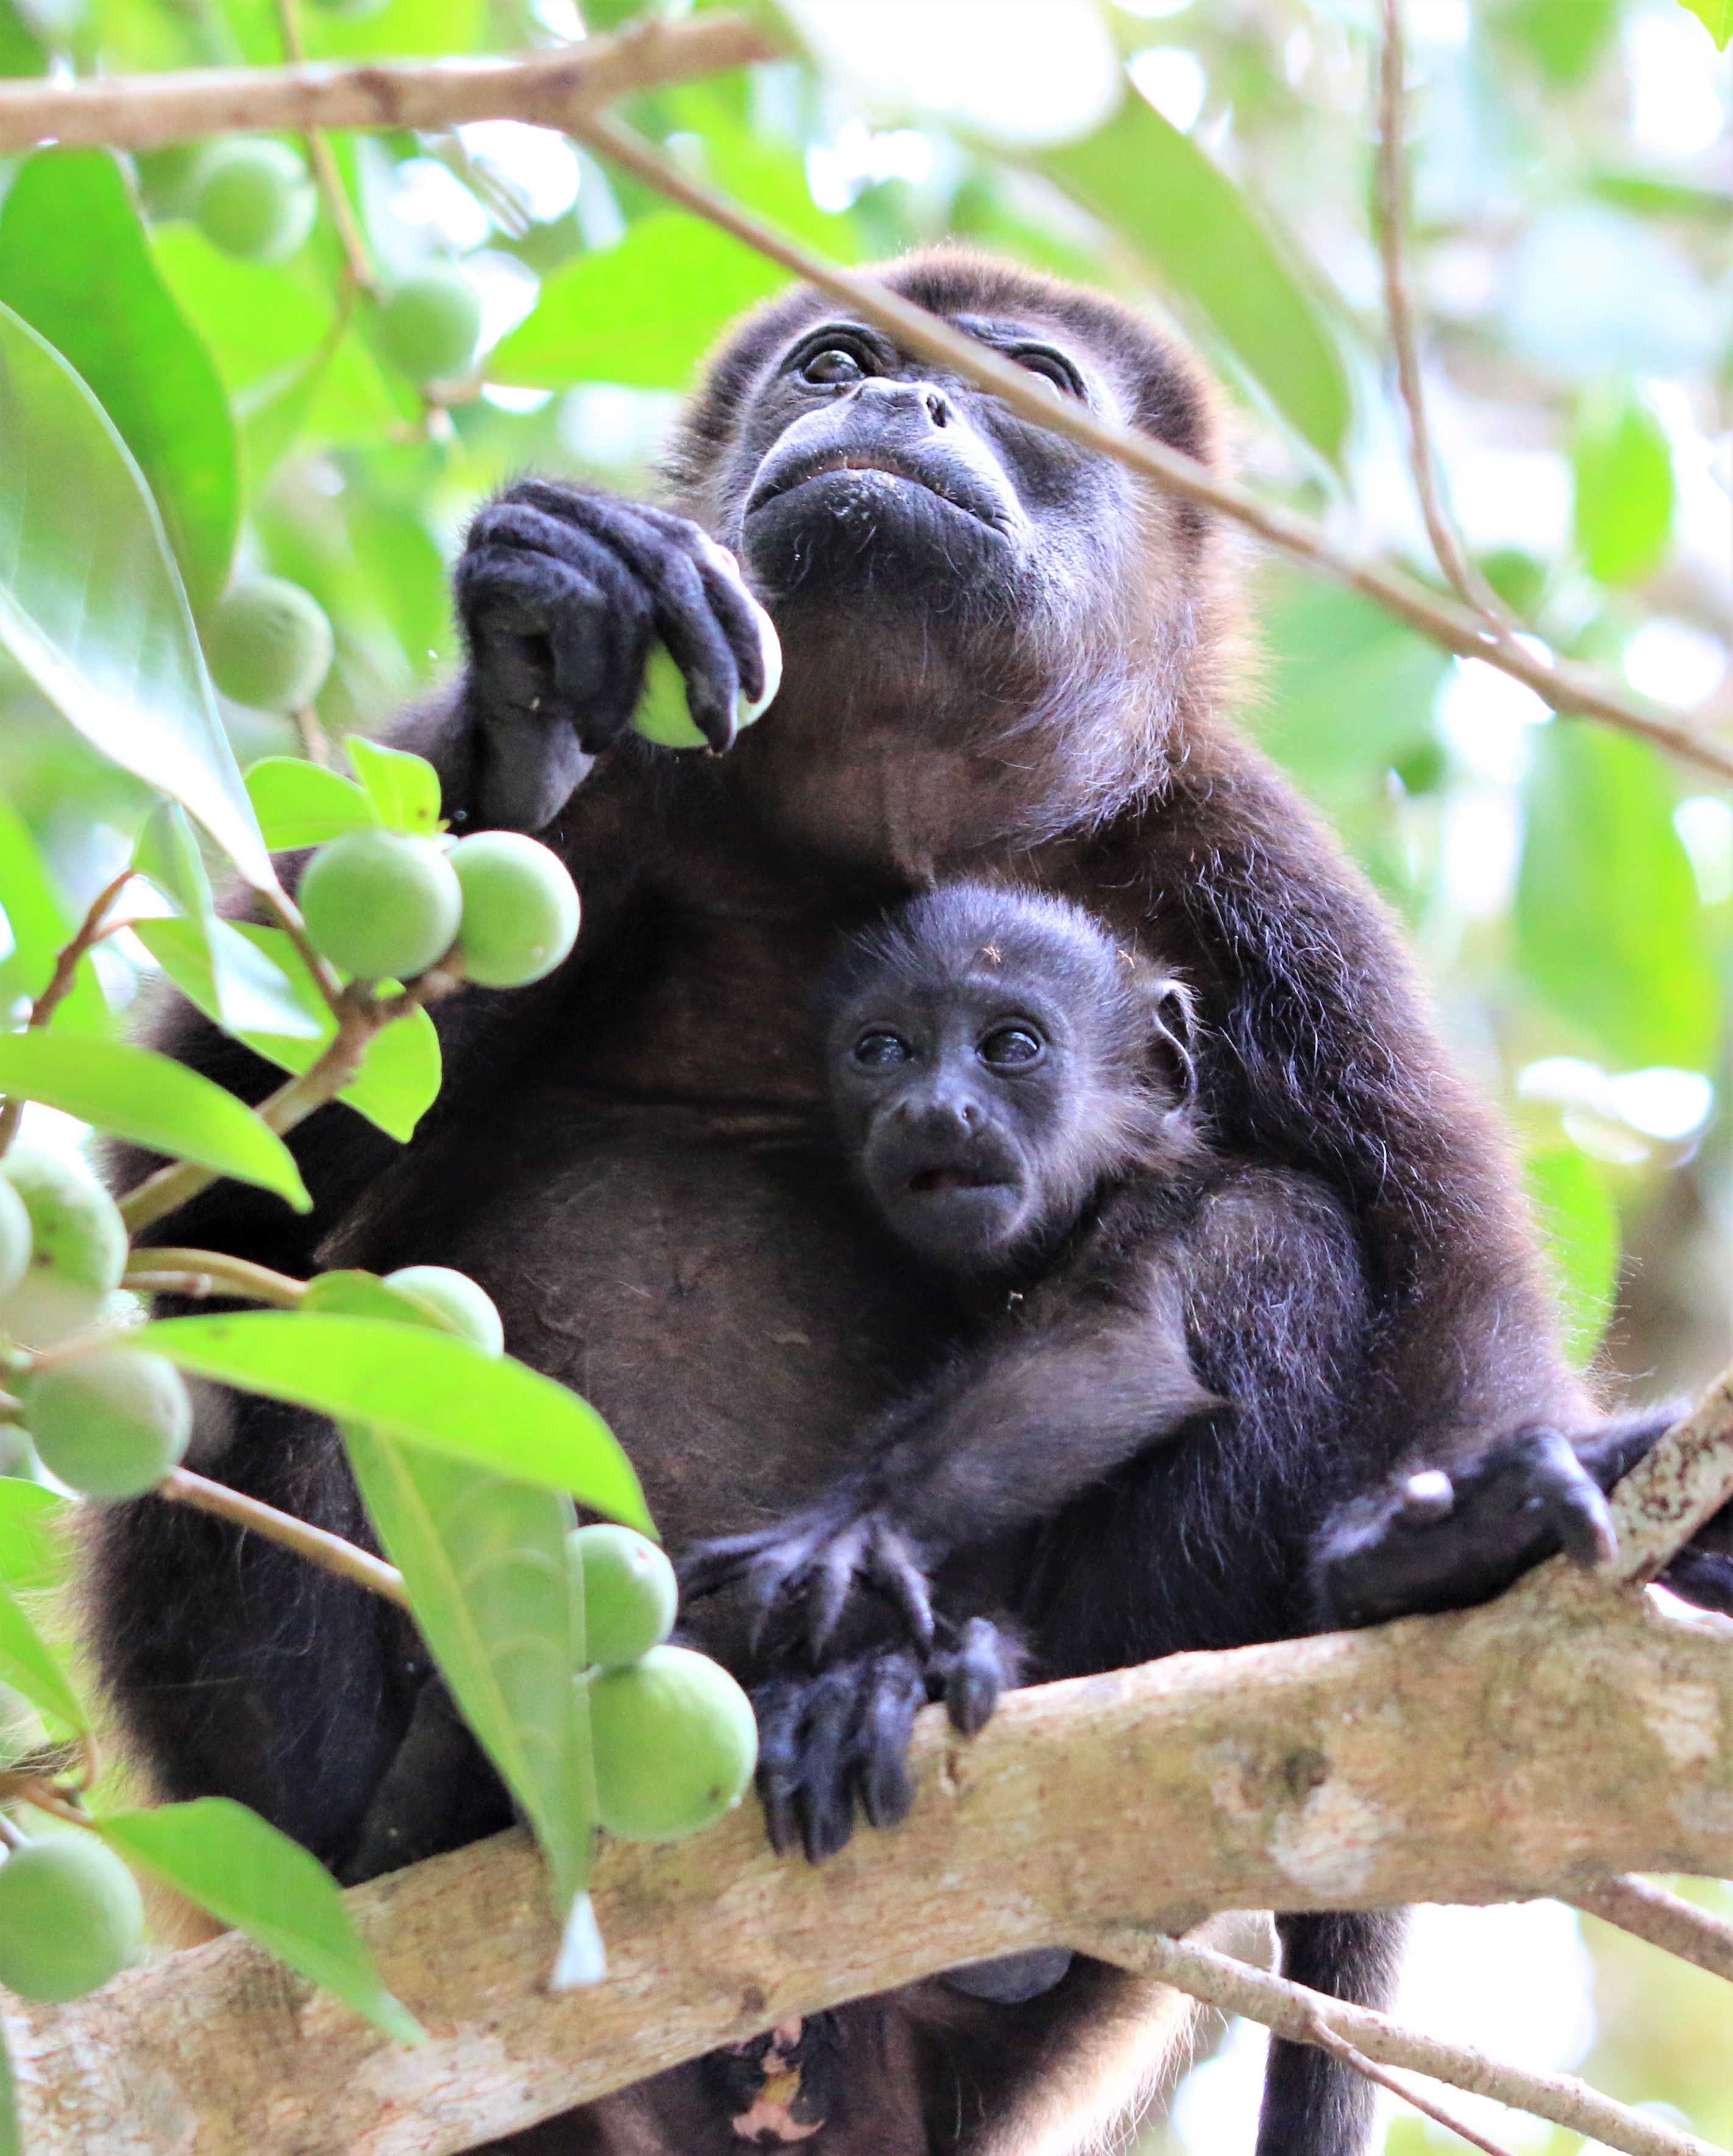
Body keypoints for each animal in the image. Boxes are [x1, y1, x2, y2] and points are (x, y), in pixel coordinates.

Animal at [98, 256, 1715, 2156]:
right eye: (835, 360)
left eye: (1026, 382)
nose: (895, 402)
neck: (883, 827)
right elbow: (201, 1198)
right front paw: (538, 683)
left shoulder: (1252, 870)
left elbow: (1439, 1253)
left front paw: (1452, 1533)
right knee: (256, 1329)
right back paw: (406, 1830)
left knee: (1275, 1235)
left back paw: (924, 1759)